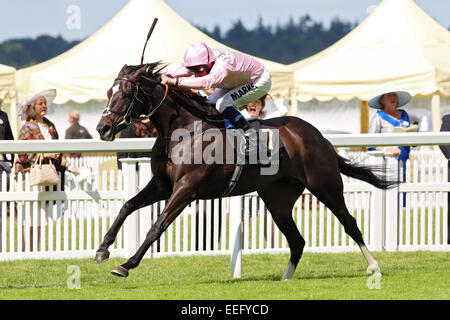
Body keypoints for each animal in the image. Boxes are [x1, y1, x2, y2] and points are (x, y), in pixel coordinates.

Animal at [94, 62, 394, 280]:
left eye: (126, 94)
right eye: (109, 93)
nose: (102, 128)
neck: (183, 130)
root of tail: (319, 136)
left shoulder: (186, 189)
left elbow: (156, 227)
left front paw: (126, 264)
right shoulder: (162, 185)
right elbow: (127, 206)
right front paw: (102, 249)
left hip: (325, 185)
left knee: (350, 223)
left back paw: (374, 267)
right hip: (278, 199)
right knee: (297, 240)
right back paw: (285, 279)